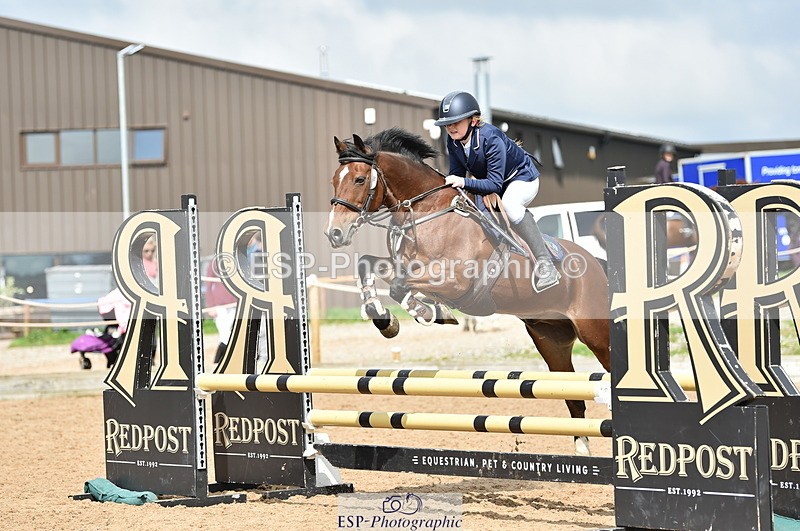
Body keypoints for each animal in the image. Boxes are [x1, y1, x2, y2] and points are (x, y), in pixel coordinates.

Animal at [324, 128, 611, 455]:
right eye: (334, 180)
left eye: (360, 179)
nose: (334, 234)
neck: (425, 210)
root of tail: (598, 264)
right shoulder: (403, 265)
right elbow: (368, 266)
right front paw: (386, 320)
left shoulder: (456, 281)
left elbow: (400, 286)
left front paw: (427, 311)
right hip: (551, 339)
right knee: (572, 397)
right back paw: (582, 452)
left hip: (594, 332)